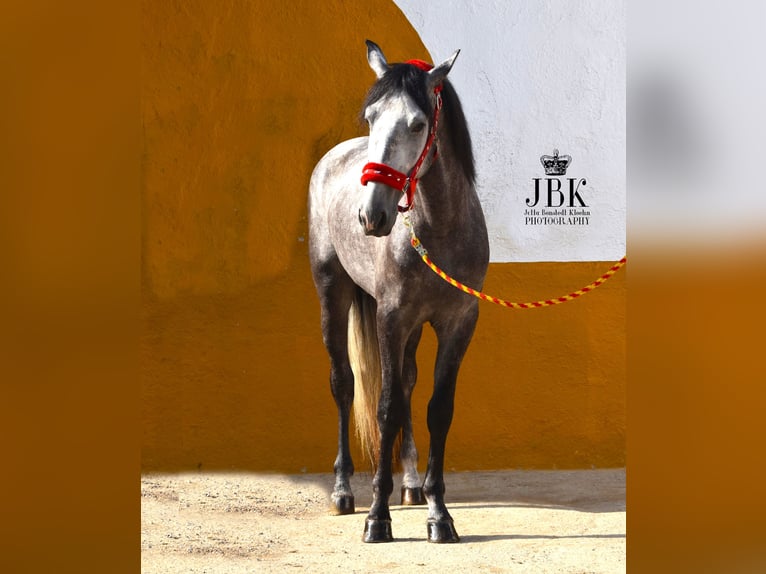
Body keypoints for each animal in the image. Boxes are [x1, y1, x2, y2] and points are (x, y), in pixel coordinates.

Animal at [308, 40, 488, 544]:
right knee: (344, 384)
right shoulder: (390, 318)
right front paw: (377, 517)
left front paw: (438, 514)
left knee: (406, 381)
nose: (371, 215)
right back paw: (343, 492)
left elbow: (437, 409)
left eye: (418, 124)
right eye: (371, 117)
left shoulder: (457, 323)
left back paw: (408, 485)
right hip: (332, 293)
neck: (438, 230)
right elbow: (385, 408)